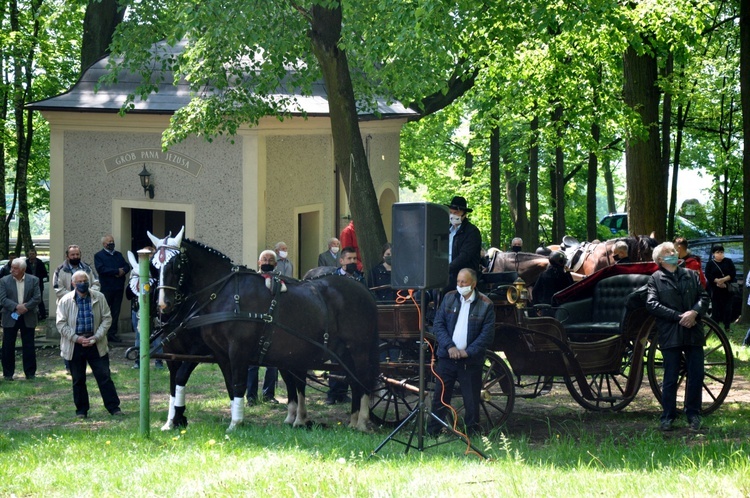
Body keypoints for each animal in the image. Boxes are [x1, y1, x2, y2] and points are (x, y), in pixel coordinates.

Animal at [148, 230, 382, 432]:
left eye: (175, 264)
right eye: (154, 265)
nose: (163, 303)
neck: (226, 293)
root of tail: (363, 289)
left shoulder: (236, 351)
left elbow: (238, 383)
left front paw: (236, 423)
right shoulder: (219, 354)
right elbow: (229, 385)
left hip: (358, 350)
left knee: (362, 379)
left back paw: (362, 421)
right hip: (341, 352)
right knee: (353, 380)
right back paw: (352, 420)